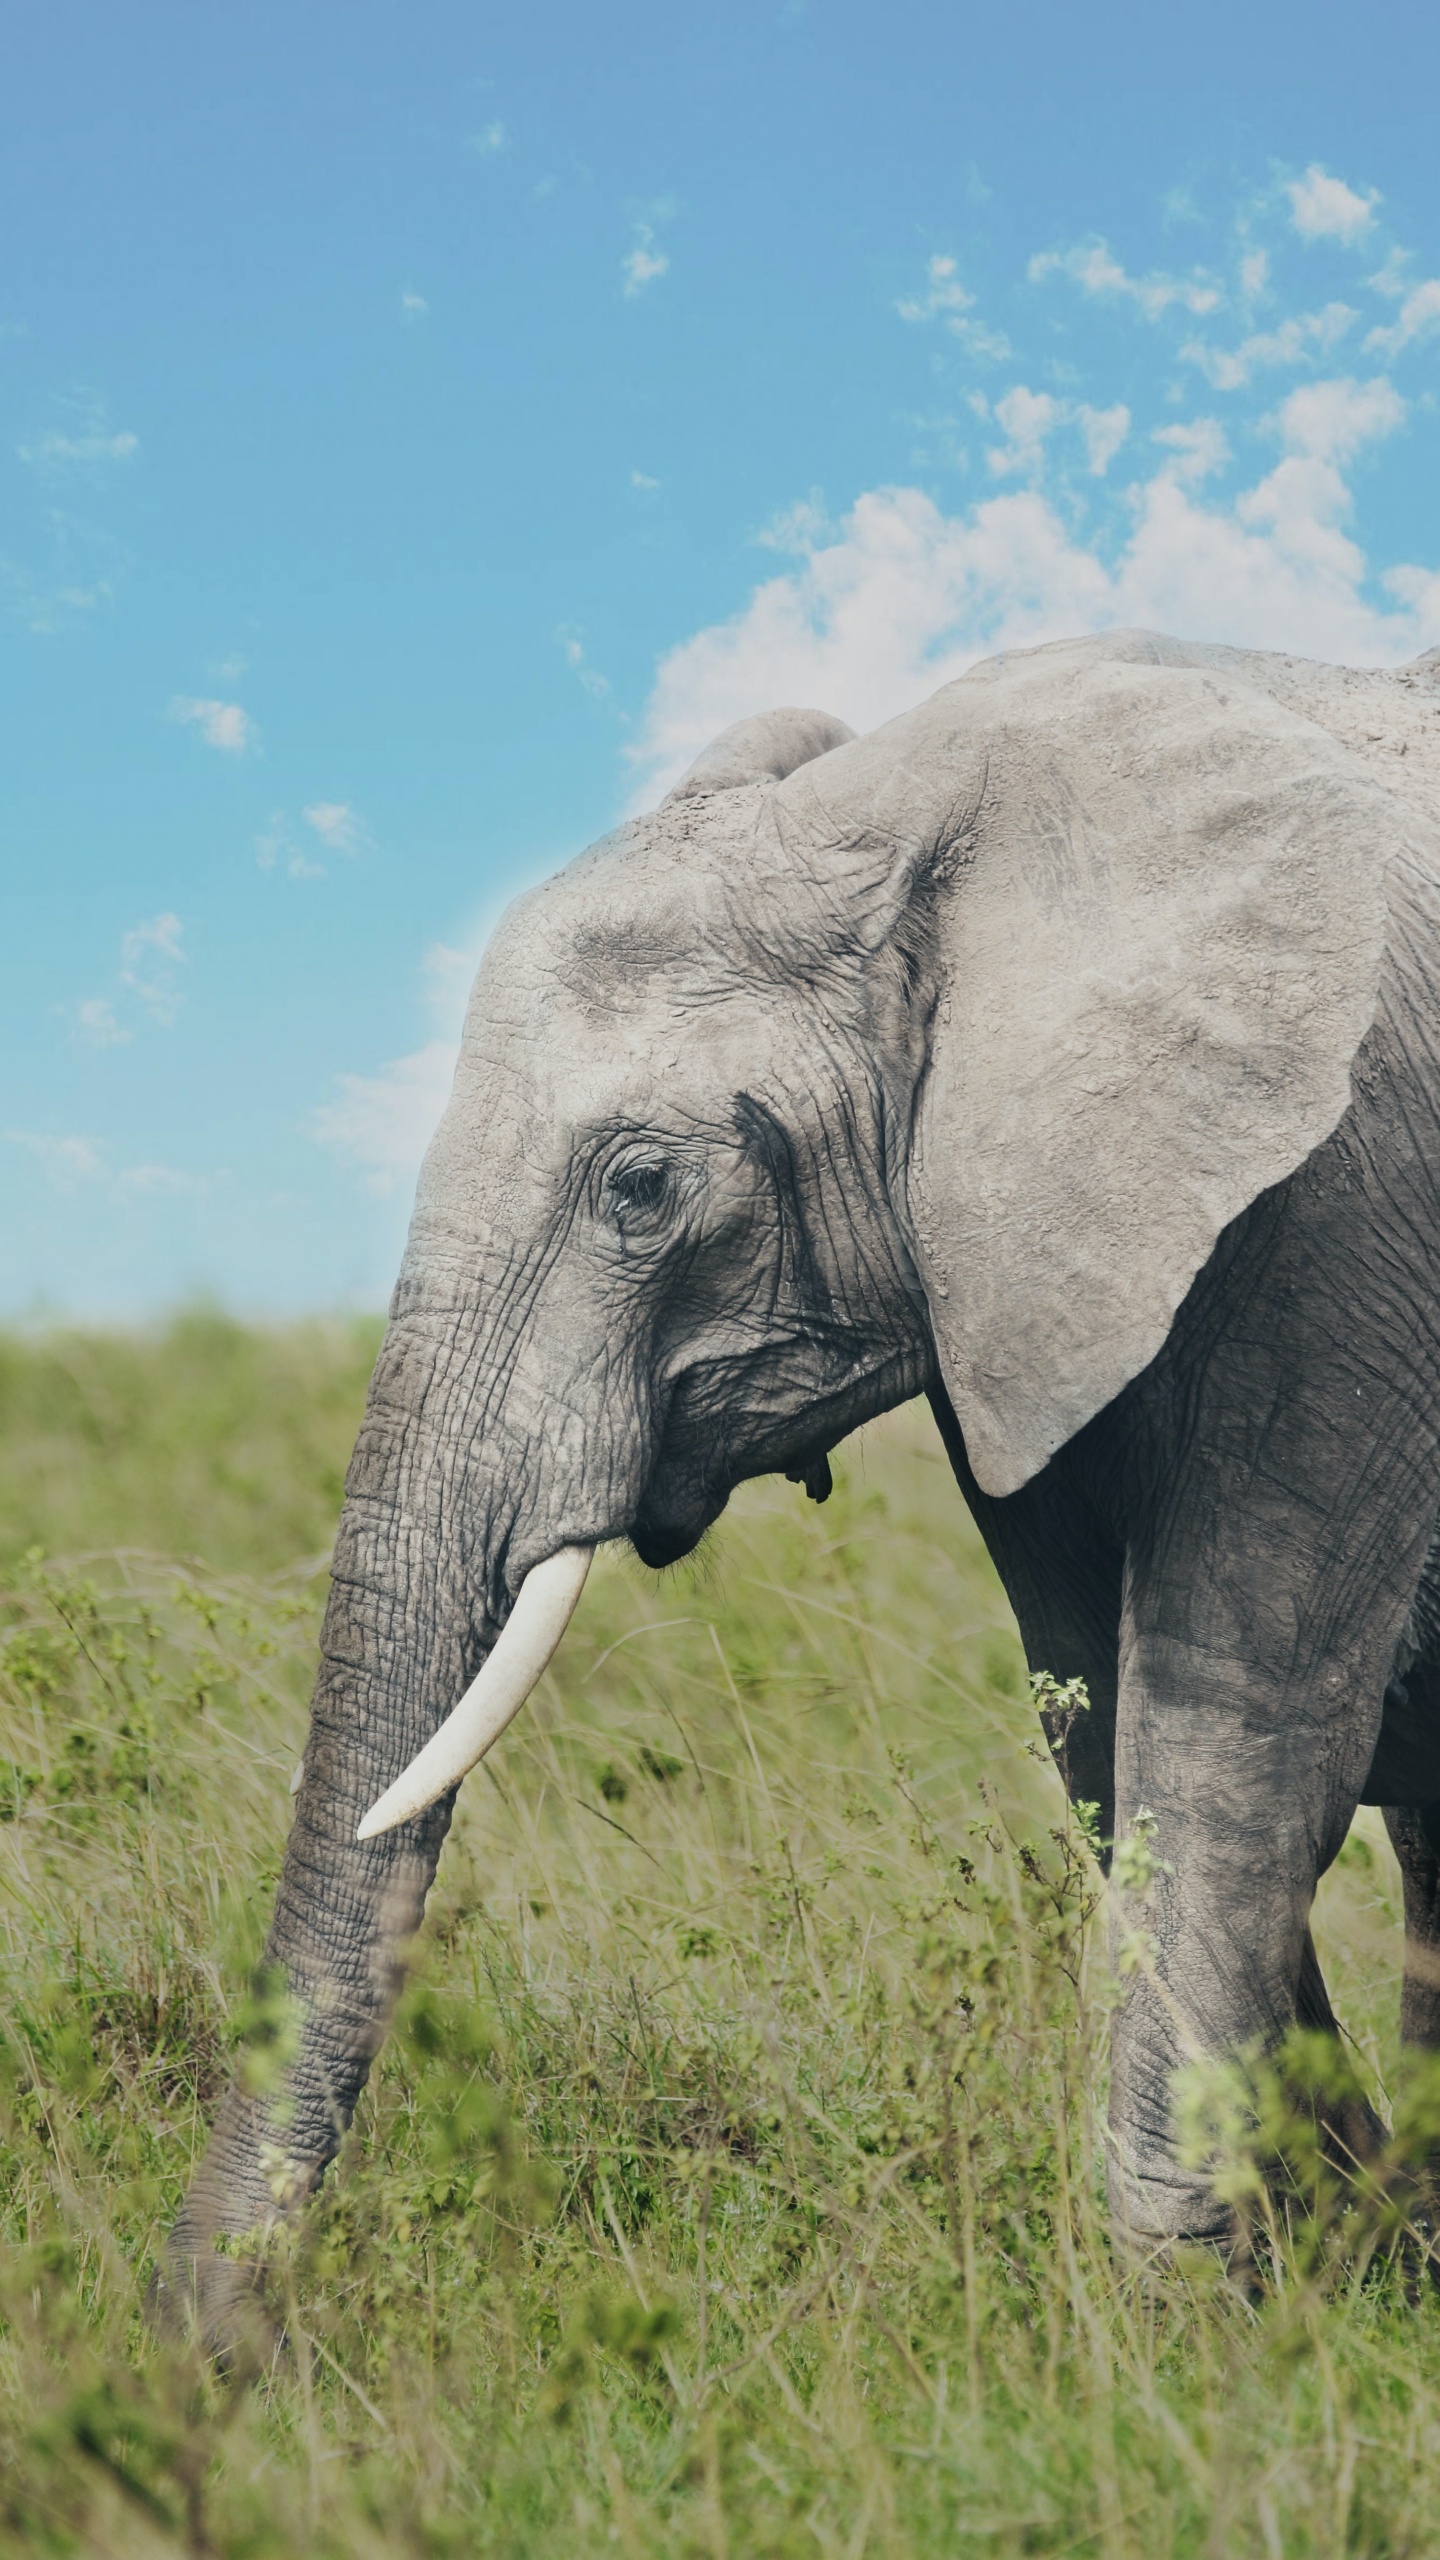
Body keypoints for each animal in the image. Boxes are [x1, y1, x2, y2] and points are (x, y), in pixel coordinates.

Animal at [162, 623, 1440, 2331]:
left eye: (641, 1185)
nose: (206, 2353)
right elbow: (1100, 1715)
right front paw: (1341, 2249)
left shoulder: (1351, 1196)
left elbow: (1238, 1719)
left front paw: (1201, 2319)